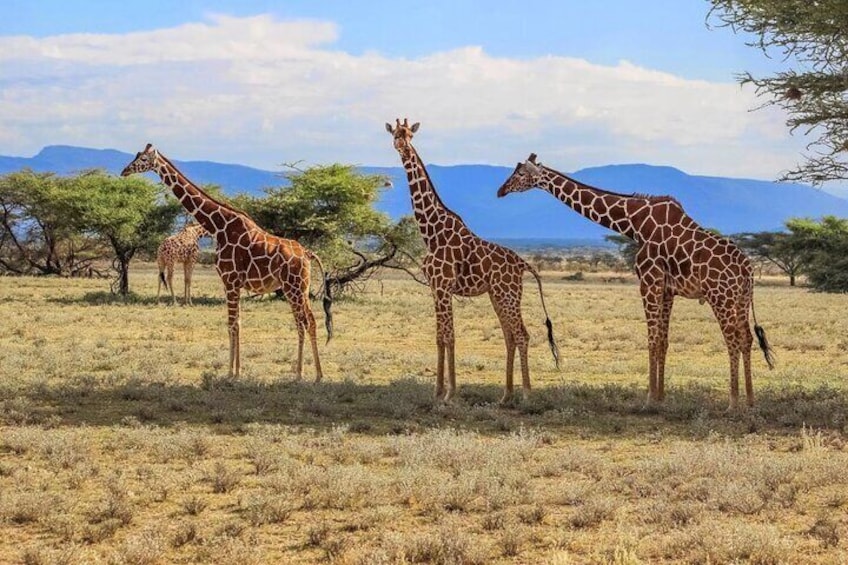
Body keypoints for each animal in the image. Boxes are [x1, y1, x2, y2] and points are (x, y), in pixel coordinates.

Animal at [121, 145, 332, 382]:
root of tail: (307, 253)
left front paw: (230, 372)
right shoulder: (232, 283)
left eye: (143, 159)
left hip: (293, 288)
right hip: (300, 288)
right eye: (136, 156)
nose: (124, 171)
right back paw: (307, 373)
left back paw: (310, 374)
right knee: (306, 321)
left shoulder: (230, 281)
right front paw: (237, 370)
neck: (218, 226)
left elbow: (231, 324)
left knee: (305, 322)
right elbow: (238, 323)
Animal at [384, 119, 556, 400]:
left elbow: (450, 336)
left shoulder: (444, 286)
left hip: (508, 294)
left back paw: (526, 395)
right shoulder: (435, 288)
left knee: (522, 334)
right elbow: (439, 337)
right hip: (498, 295)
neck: (431, 232)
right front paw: (437, 391)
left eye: (410, 134)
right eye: (395, 134)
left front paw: (450, 393)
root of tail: (522, 264)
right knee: (510, 335)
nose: (403, 146)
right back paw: (505, 395)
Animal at [496, 154, 776, 410]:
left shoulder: (649, 281)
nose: (501, 190)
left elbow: (651, 339)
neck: (634, 223)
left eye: (520, 174)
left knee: (733, 339)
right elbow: (662, 341)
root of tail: (748, 269)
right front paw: (661, 397)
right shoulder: (667, 290)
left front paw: (649, 400)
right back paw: (751, 400)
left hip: (720, 297)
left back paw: (733, 403)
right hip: (740, 299)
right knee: (747, 338)